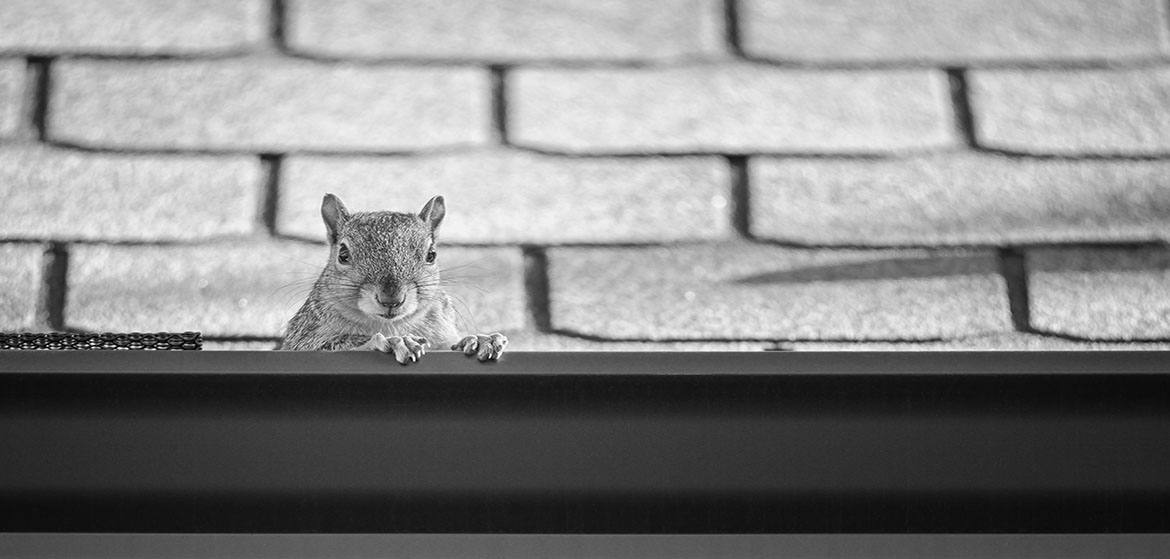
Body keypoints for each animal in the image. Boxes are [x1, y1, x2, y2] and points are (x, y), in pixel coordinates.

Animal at [281, 194, 507, 364]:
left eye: (431, 255)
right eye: (343, 255)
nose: (391, 299)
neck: (391, 324)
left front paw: (478, 339)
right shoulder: (303, 338)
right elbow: (325, 345)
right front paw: (394, 342)